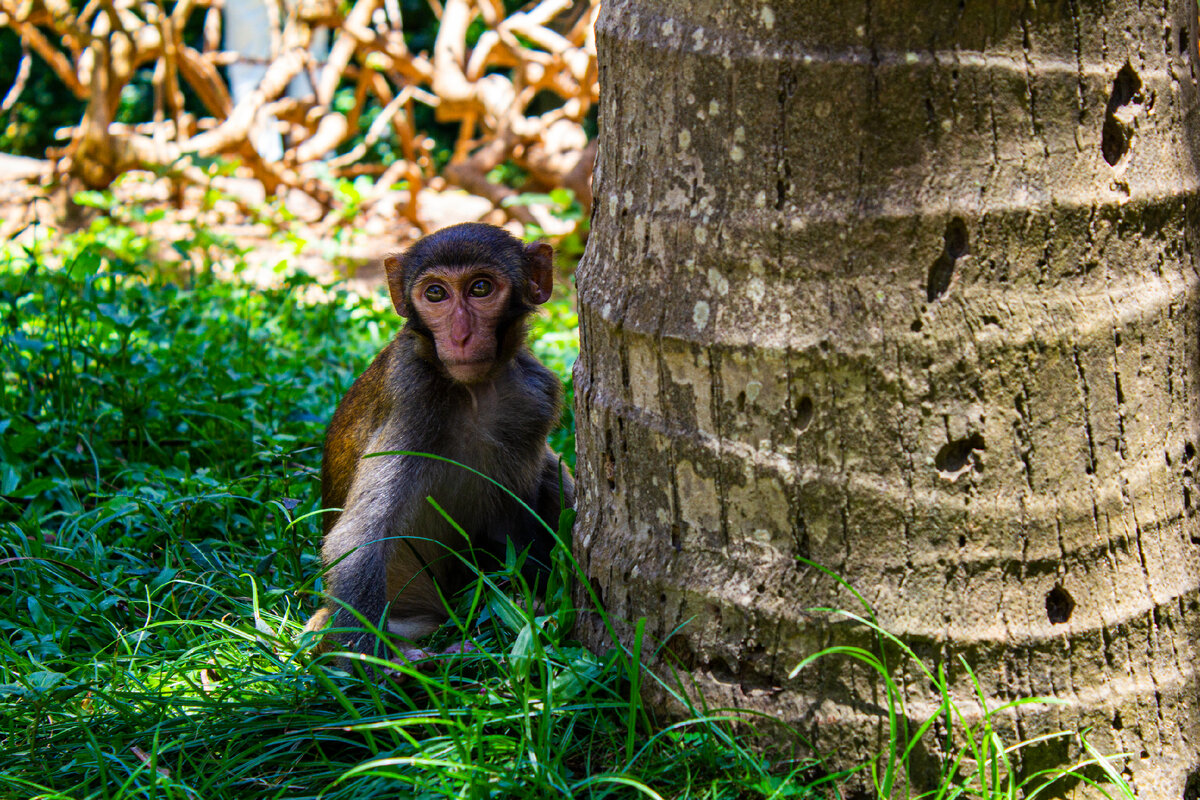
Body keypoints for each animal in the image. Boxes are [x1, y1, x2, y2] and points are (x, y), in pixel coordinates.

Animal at [307, 221, 573, 666]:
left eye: (480, 288)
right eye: (435, 294)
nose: (460, 335)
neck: (474, 391)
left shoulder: (536, 396)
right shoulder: (412, 397)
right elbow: (361, 537)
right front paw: (372, 670)